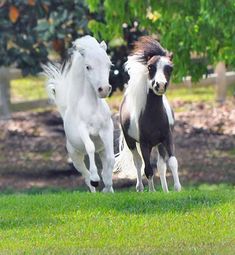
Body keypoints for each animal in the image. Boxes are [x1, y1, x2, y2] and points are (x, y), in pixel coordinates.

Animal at [43, 34, 115, 192]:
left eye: (109, 65)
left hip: (101, 150)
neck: (93, 108)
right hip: (75, 157)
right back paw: (94, 186)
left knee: (105, 159)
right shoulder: (83, 130)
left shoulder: (107, 130)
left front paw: (108, 184)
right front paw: (96, 179)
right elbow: (90, 147)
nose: (104, 89)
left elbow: (111, 158)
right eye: (88, 67)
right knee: (85, 175)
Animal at [115, 35, 182, 191]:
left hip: (158, 144)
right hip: (132, 142)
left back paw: (165, 190)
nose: (160, 85)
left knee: (161, 166)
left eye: (170, 68)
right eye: (150, 67)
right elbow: (148, 170)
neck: (154, 117)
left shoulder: (167, 138)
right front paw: (151, 192)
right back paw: (140, 188)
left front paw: (176, 189)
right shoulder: (144, 144)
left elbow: (172, 162)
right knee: (138, 163)